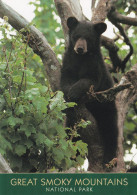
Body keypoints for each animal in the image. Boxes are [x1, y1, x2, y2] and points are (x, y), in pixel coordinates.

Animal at [60, 16, 118, 165]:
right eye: (76, 36)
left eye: (88, 38)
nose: (80, 48)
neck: (81, 58)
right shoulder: (69, 61)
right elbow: (66, 79)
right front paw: (68, 94)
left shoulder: (95, 64)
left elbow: (91, 80)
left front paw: (74, 92)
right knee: (71, 133)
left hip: (107, 107)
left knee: (111, 129)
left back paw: (109, 159)